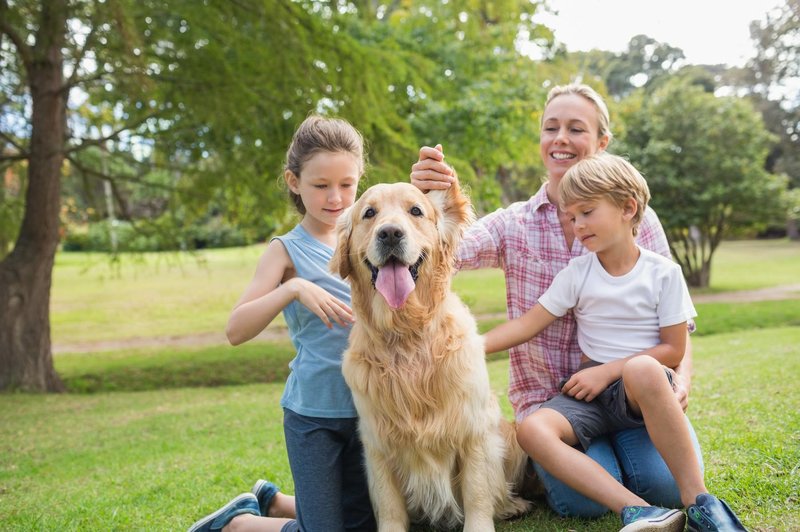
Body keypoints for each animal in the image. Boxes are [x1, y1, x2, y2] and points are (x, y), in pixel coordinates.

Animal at [332, 181, 532, 528]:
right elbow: (389, 505)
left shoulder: (472, 430)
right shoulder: (377, 443)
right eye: (369, 213)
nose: (390, 233)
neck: (407, 335)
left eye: (416, 210)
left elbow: (478, 492)